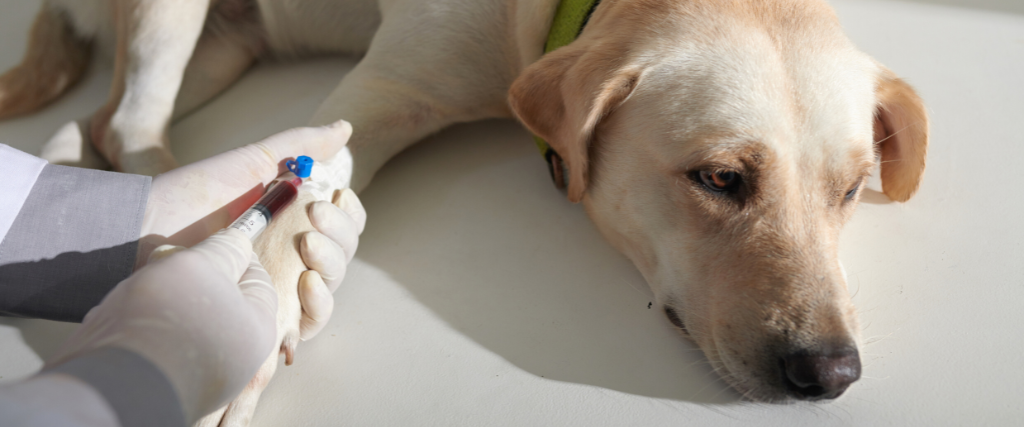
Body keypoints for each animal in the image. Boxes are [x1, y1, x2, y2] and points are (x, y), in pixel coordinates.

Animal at [0, 0, 929, 419]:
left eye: (850, 191)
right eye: (721, 178)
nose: (830, 372)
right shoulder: (376, 98)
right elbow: (290, 215)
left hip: (224, 48)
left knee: (91, 122)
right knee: (128, 119)